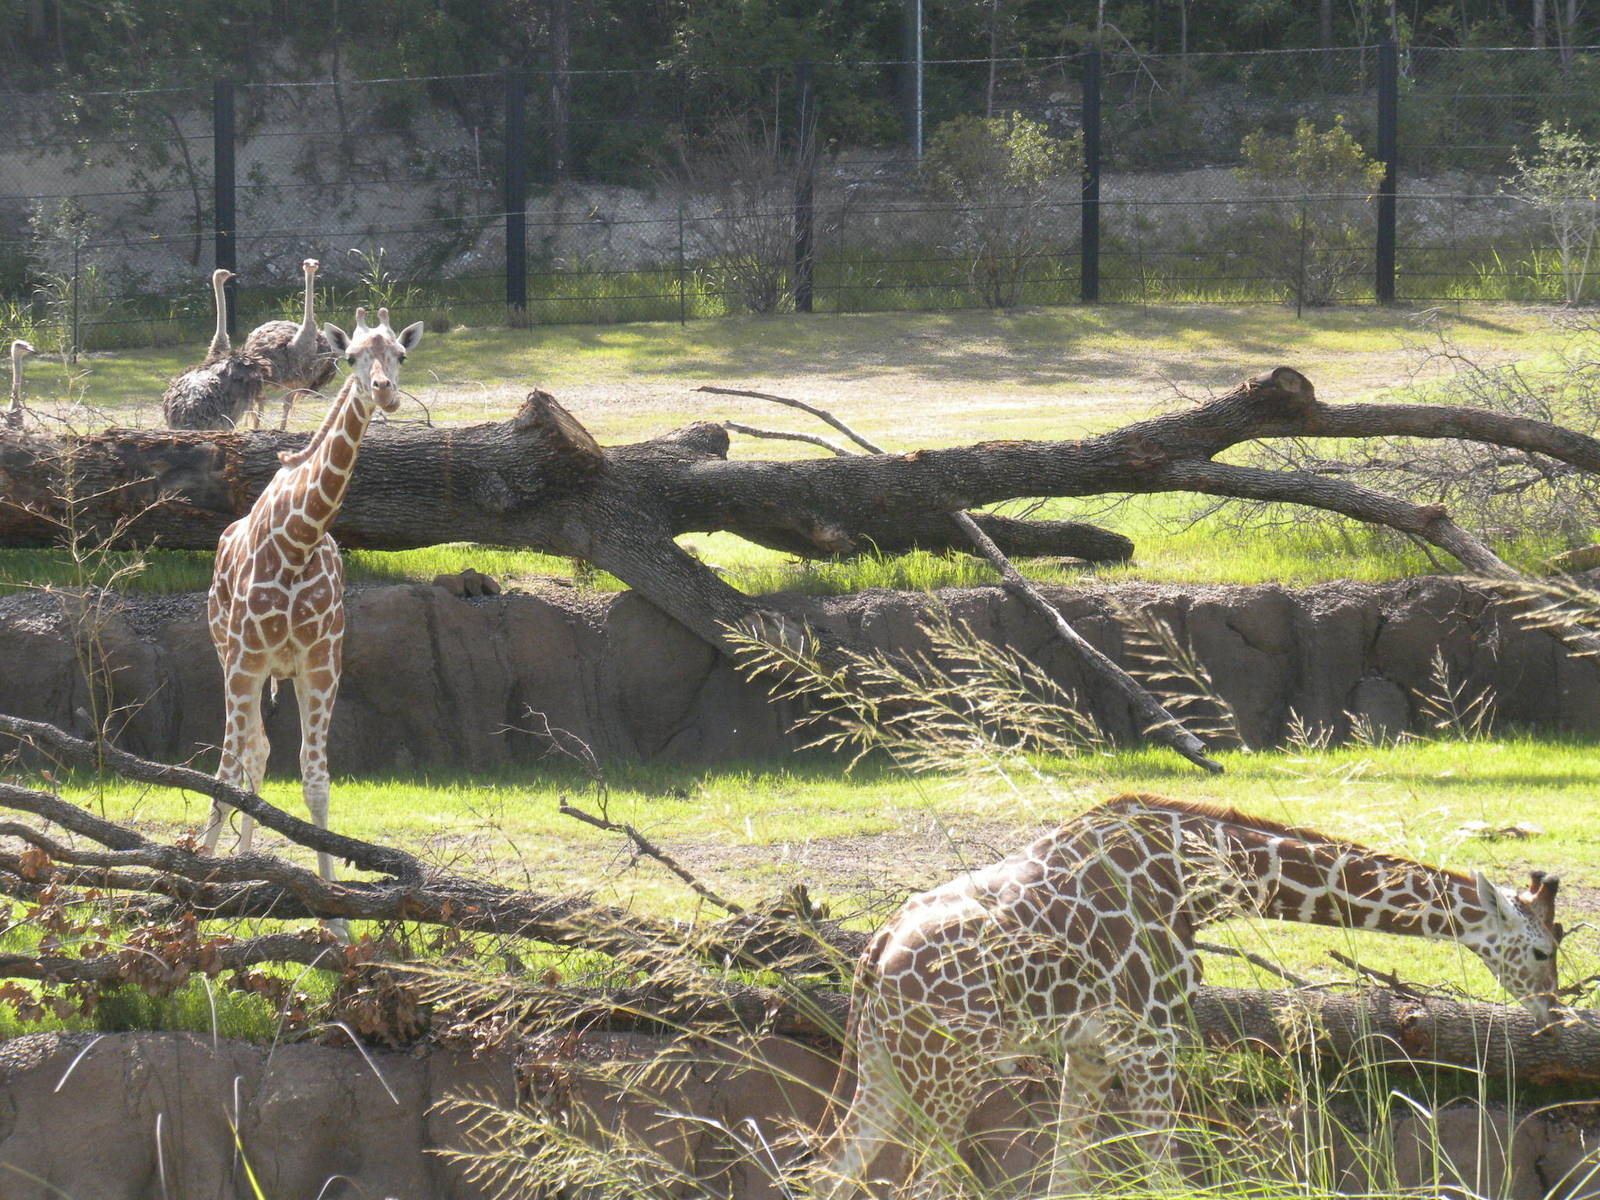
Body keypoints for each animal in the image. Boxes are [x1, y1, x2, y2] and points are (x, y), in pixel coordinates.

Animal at [201, 306, 423, 893]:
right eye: (352, 357)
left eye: (401, 354)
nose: (384, 392)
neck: (298, 541)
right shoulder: (246, 660)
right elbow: (225, 773)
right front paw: (198, 882)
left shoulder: (321, 664)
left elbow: (316, 779)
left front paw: (329, 895)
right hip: (227, 653)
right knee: (242, 754)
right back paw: (223, 863)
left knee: (258, 752)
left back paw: (242, 861)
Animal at [820, 793, 1563, 1198]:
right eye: (1542, 950)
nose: (1554, 1018)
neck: (1197, 877)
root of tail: (875, 951)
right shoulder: (1153, 1038)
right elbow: (1166, 1179)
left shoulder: (1092, 1047)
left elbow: (1067, 1177)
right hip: (950, 1071)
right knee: (917, 1182)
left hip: (886, 1066)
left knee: (828, 1170)